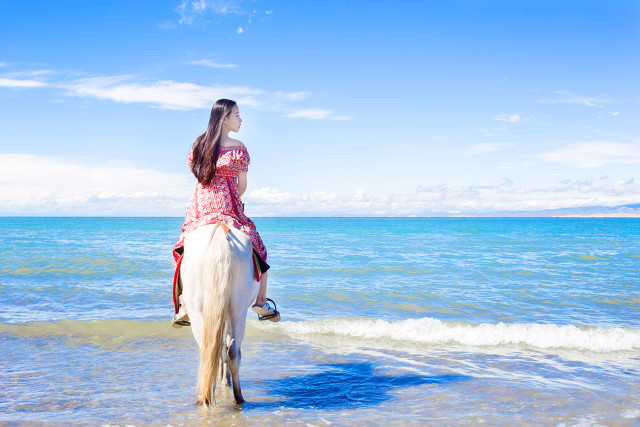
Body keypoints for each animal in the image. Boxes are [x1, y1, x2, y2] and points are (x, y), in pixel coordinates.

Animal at [178, 222, 258, 406]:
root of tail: (220, 235)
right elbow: (223, 347)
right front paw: (224, 379)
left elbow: (220, 347)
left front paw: (223, 379)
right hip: (237, 310)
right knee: (232, 351)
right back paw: (237, 397)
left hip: (199, 312)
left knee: (209, 350)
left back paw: (206, 398)